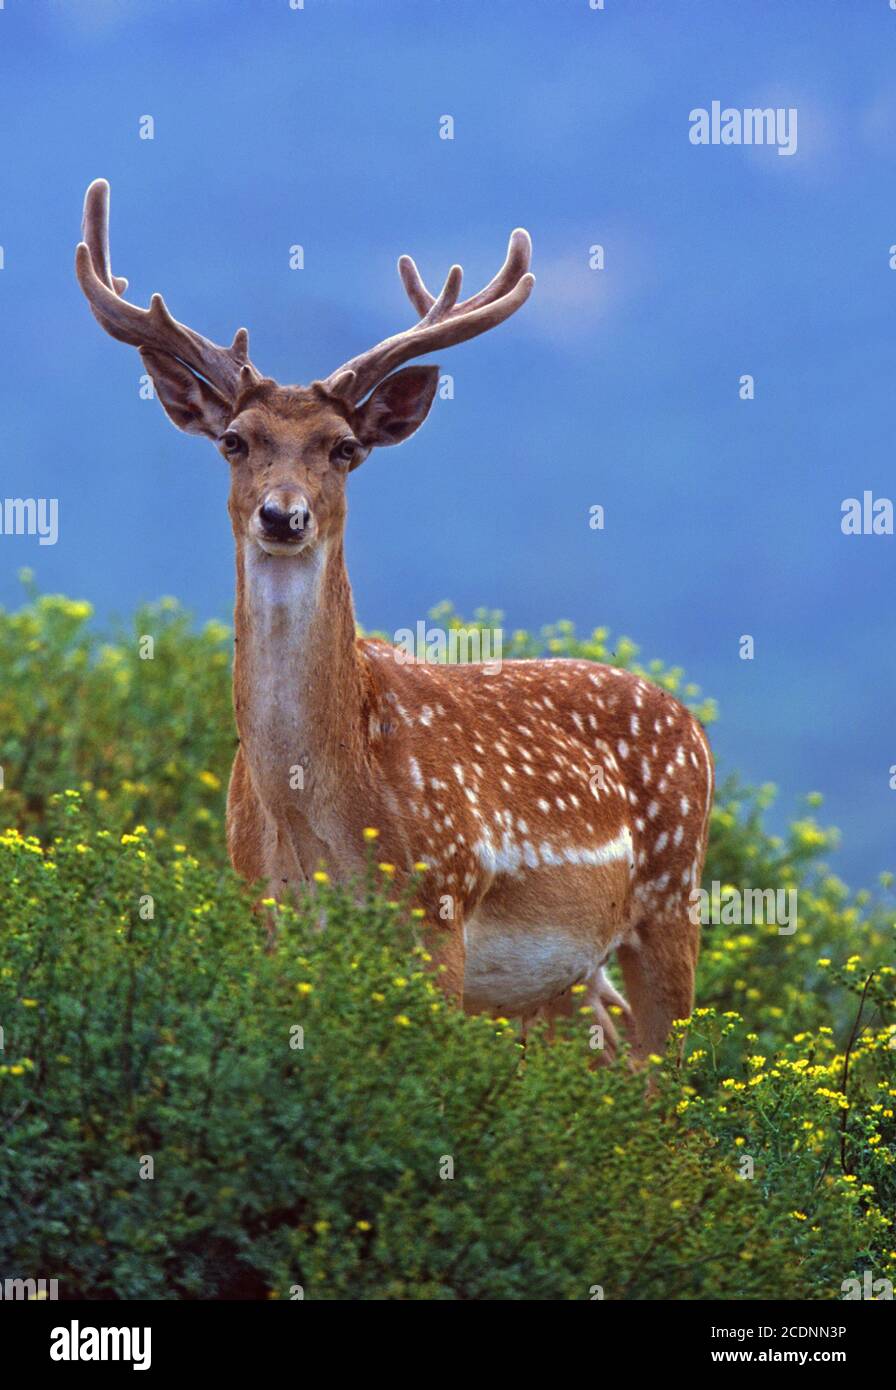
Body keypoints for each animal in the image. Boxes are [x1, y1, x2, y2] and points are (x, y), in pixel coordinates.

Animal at [75, 179, 711, 1056]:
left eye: (344, 447)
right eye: (234, 440)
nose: (283, 515)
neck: (313, 819)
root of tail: (692, 722)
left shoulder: (438, 905)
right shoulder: (261, 914)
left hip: (672, 899)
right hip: (567, 982)